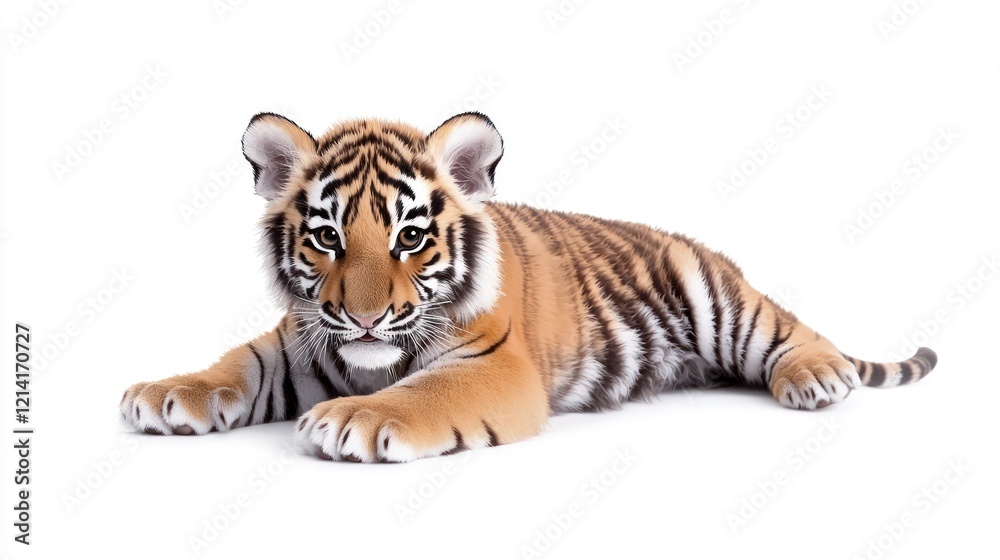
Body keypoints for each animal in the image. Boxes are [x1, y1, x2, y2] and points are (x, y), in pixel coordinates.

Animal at [119, 112, 938, 463]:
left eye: (409, 237)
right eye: (326, 238)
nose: (365, 317)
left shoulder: (493, 366)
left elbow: (421, 392)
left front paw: (353, 419)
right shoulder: (300, 340)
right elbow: (237, 364)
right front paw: (165, 394)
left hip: (718, 297)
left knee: (792, 330)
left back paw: (816, 376)